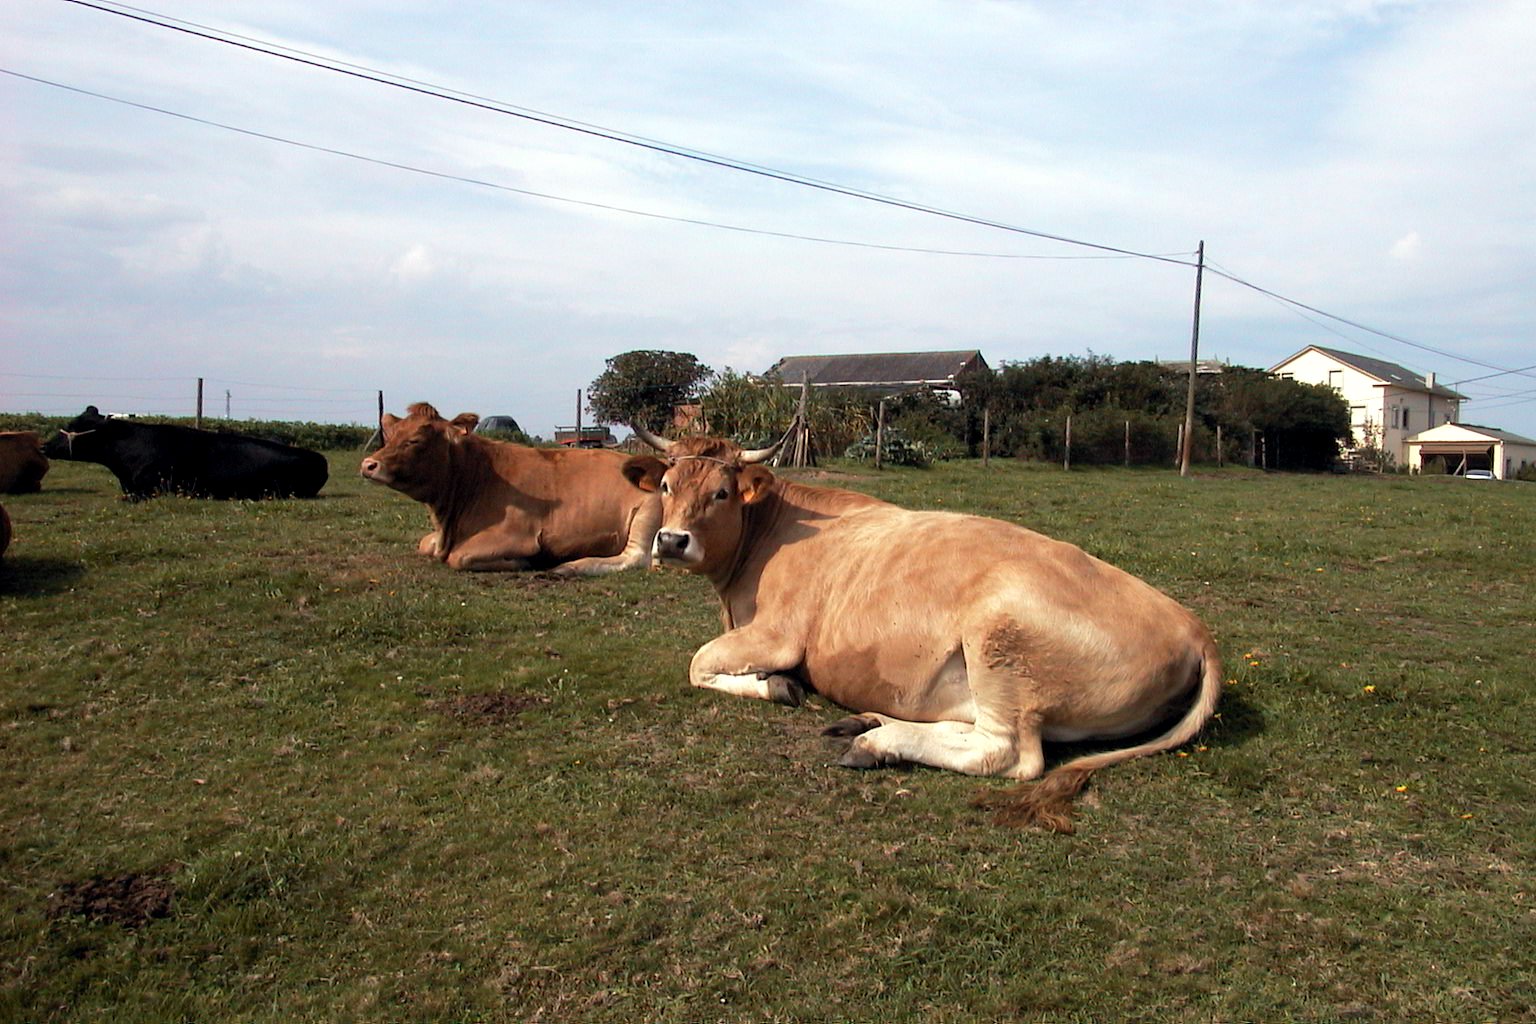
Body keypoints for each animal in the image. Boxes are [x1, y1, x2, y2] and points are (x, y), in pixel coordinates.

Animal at [365, 402, 666, 577]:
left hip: (646, 515)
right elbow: (424, 544)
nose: (369, 464)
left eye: (415, 440)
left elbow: (458, 557)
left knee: (635, 558)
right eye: (390, 435)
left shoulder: (517, 535)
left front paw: (524, 562)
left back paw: (567, 566)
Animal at [623, 423, 1222, 835]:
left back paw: (877, 741)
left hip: (997, 635)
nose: (670, 541)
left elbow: (699, 663)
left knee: (1007, 752)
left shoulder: (776, 634)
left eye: (721, 493)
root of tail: (1194, 626)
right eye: (668, 484)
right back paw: (868, 722)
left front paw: (776, 686)